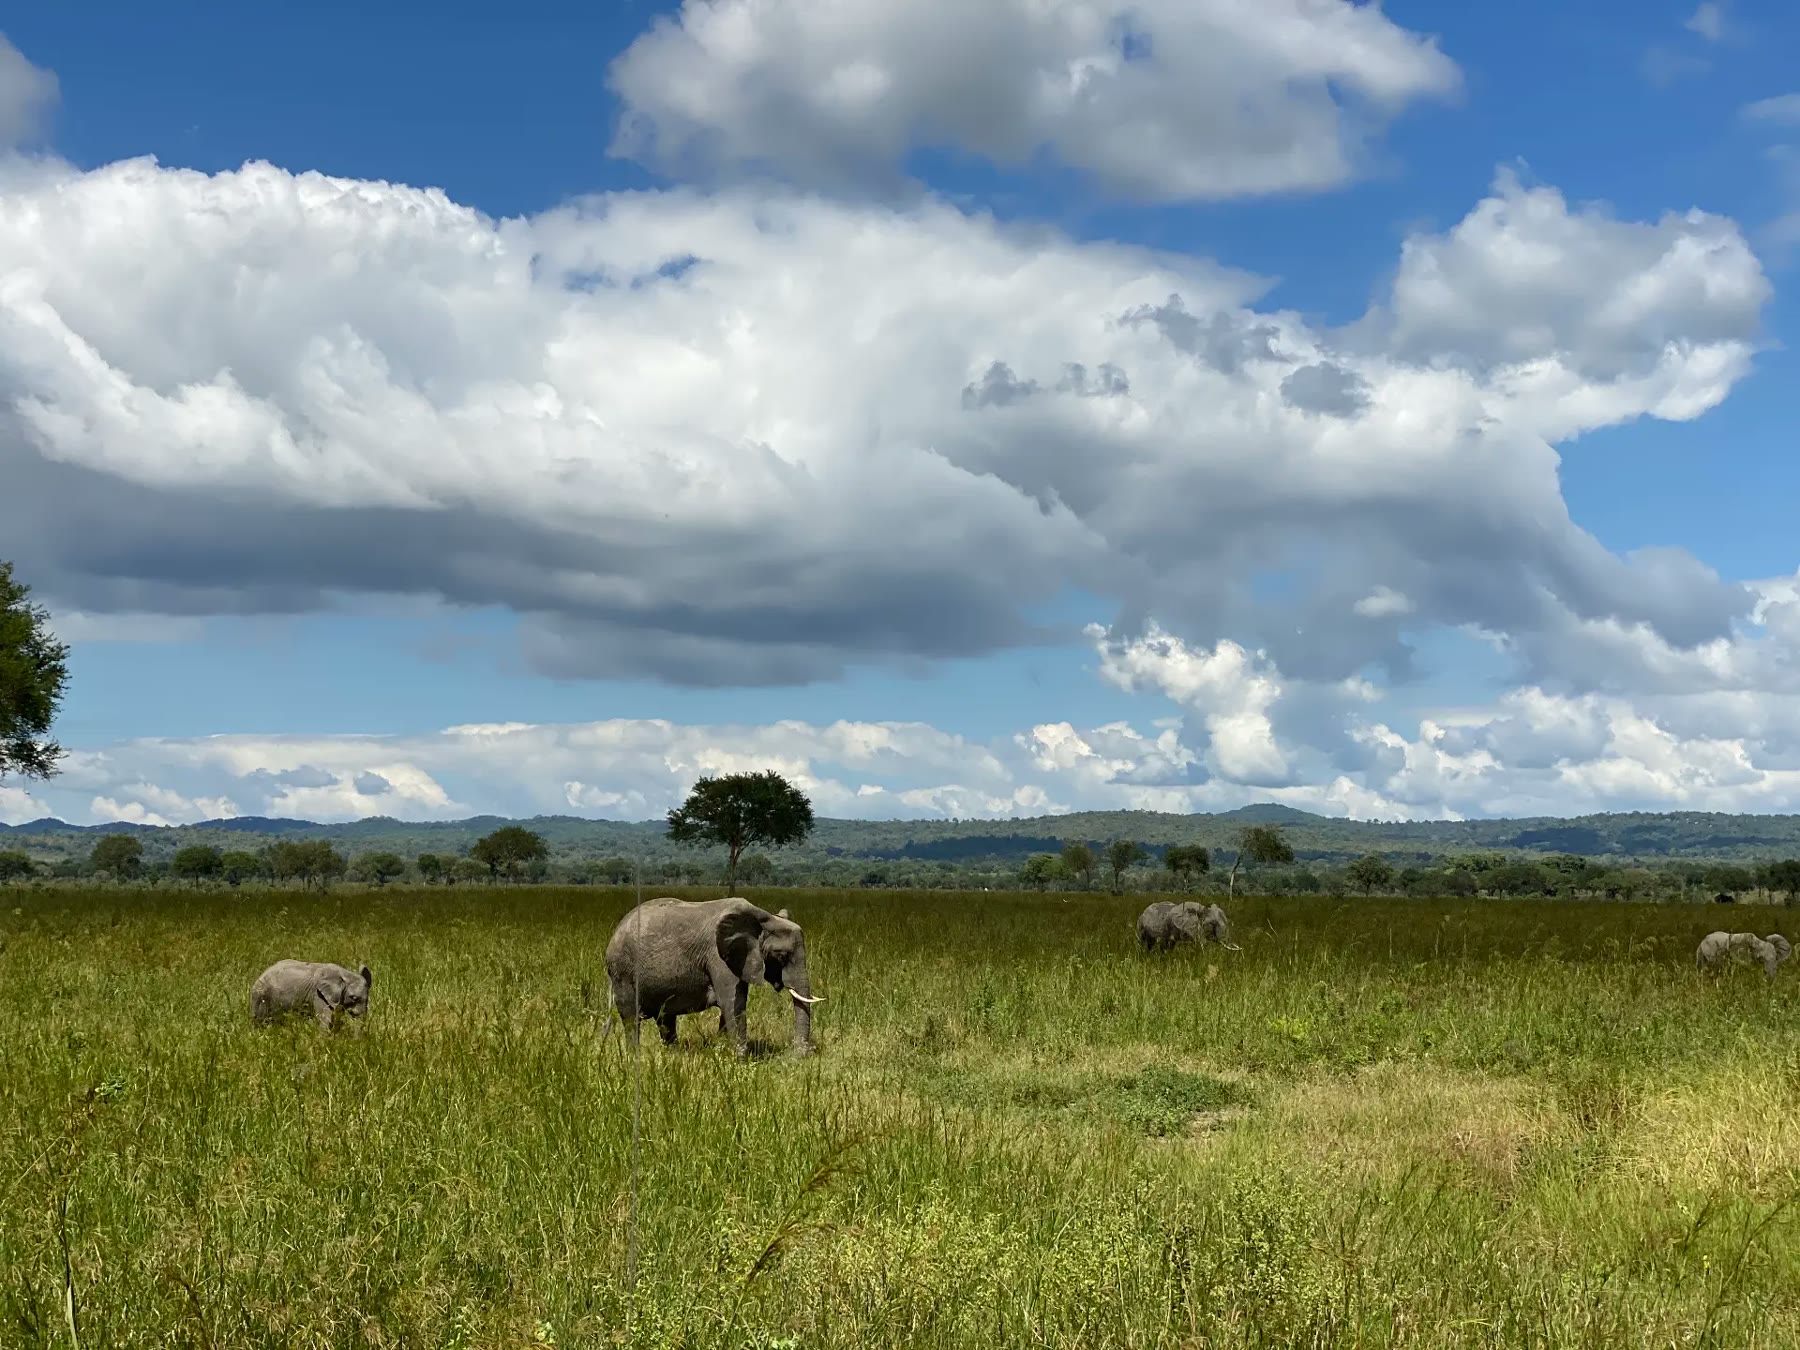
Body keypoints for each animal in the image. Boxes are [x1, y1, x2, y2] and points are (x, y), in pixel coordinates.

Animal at [603, 897, 821, 1056]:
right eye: (781, 956)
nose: (800, 1053)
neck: (763, 917)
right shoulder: (718, 957)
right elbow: (733, 1002)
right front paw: (741, 1060)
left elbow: (732, 1003)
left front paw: (723, 1050)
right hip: (622, 971)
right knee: (631, 1017)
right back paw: (635, 1056)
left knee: (665, 1018)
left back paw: (672, 1054)